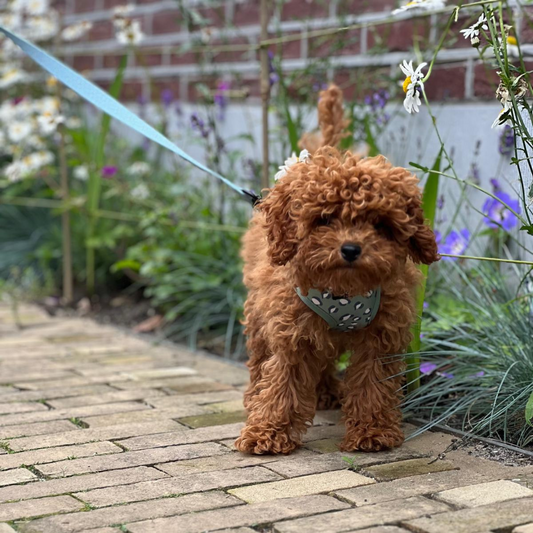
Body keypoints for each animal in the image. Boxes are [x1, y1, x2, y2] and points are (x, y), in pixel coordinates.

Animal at [235, 85, 438, 456]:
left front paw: (372, 430)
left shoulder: (381, 334)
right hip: (260, 313)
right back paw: (257, 395)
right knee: (261, 360)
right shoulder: (291, 328)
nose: (351, 249)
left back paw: (327, 392)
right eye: (325, 219)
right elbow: (283, 381)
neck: (343, 292)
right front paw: (267, 431)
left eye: (379, 224)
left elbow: (372, 382)